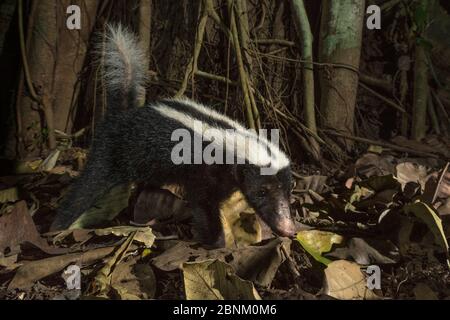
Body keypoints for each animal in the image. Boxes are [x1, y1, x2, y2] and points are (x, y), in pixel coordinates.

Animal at [51, 25, 296, 248]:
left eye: (288, 190)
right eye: (262, 191)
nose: (288, 229)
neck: (233, 142)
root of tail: (122, 115)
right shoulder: (203, 173)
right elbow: (204, 204)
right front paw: (216, 243)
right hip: (111, 150)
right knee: (87, 185)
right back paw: (58, 225)